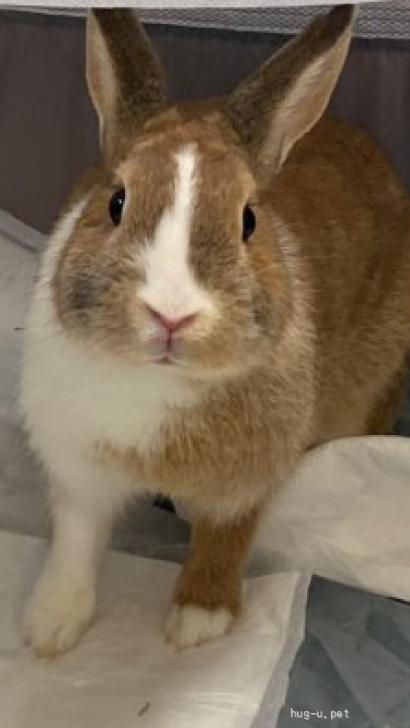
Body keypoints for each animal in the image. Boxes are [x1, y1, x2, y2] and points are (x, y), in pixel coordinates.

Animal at [20, 5, 410, 657]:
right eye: (116, 201)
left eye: (248, 220)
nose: (171, 314)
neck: (159, 384)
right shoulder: (80, 470)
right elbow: (76, 541)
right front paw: (49, 629)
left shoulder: (245, 482)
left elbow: (226, 534)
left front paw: (198, 624)